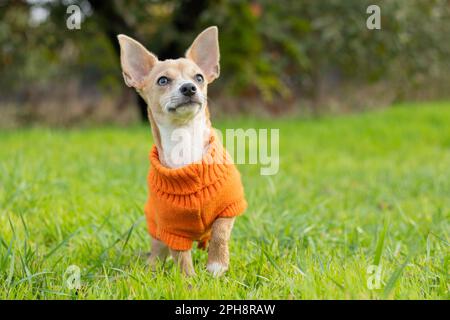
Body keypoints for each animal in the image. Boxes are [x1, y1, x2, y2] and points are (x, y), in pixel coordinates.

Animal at [117, 26, 246, 276]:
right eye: (163, 80)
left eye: (199, 77)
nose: (189, 87)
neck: (184, 140)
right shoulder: (172, 230)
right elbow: (181, 258)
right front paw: (190, 282)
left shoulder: (229, 207)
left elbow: (220, 233)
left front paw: (216, 266)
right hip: (157, 237)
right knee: (158, 254)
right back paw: (151, 271)